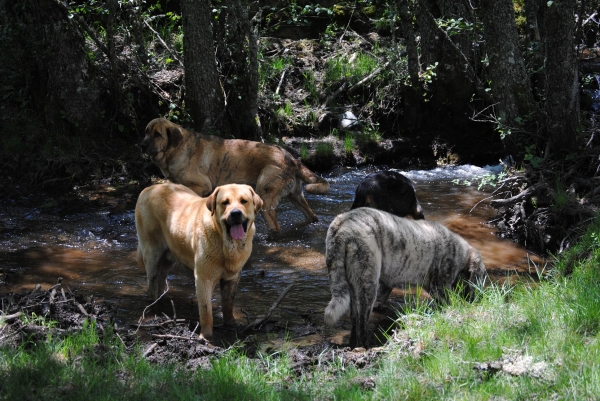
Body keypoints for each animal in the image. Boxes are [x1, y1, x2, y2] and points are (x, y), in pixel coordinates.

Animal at [136, 183, 262, 340]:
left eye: (244, 201)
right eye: (225, 202)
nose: (235, 213)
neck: (225, 243)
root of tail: (149, 189)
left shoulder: (232, 277)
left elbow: (228, 303)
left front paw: (230, 323)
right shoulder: (203, 279)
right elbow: (206, 310)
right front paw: (206, 336)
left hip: (169, 256)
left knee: (161, 278)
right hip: (152, 253)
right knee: (152, 283)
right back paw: (154, 308)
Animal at [139, 117, 330, 231]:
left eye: (157, 134)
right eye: (146, 131)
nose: (142, 145)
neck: (175, 149)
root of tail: (291, 158)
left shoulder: (201, 186)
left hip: (266, 198)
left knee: (275, 227)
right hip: (295, 196)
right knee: (312, 216)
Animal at [324, 206, 488, 346]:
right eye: (481, 277)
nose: (482, 298)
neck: (461, 255)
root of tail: (342, 224)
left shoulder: (386, 283)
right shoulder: (440, 286)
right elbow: (448, 302)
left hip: (354, 283)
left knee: (355, 316)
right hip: (367, 281)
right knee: (362, 319)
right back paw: (364, 345)